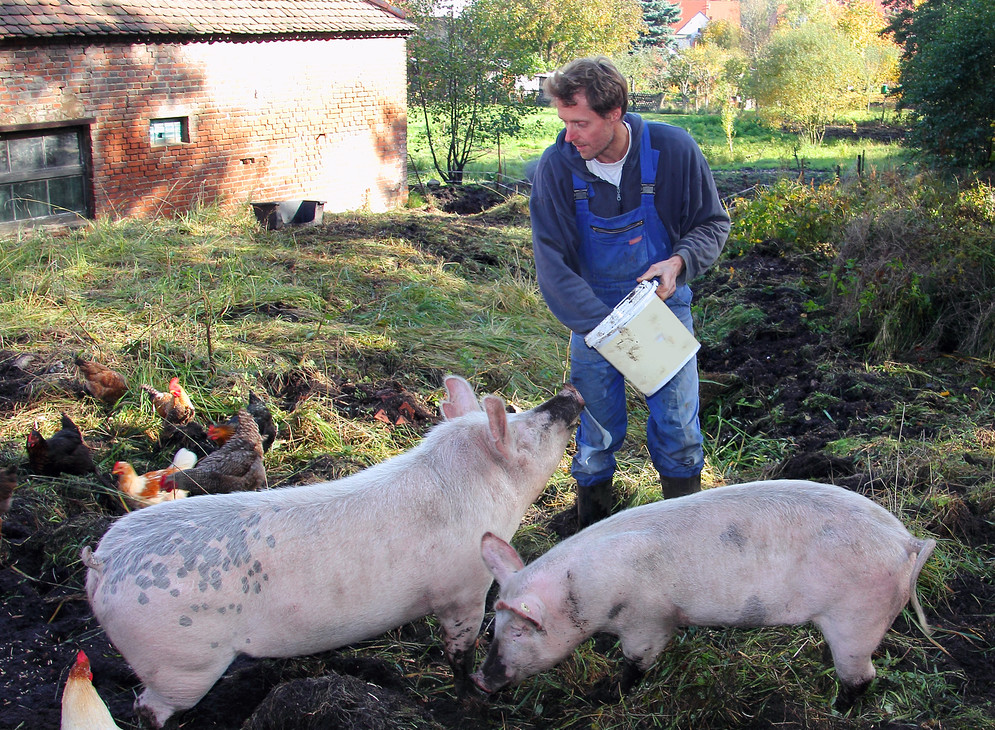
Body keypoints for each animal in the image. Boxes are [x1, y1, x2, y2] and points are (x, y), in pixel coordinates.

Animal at [85, 372, 588, 724]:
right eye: (529, 430)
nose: (571, 391)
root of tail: (102, 561)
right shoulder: (463, 589)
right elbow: (458, 652)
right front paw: (473, 703)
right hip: (180, 663)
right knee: (148, 708)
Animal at [472, 480, 932, 708]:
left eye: (521, 631)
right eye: (494, 627)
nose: (479, 679)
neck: (583, 591)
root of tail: (906, 542)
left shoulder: (647, 619)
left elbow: (636, 663)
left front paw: (600, 695)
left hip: (858, 615)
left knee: (864, 676)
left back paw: (837, 708)